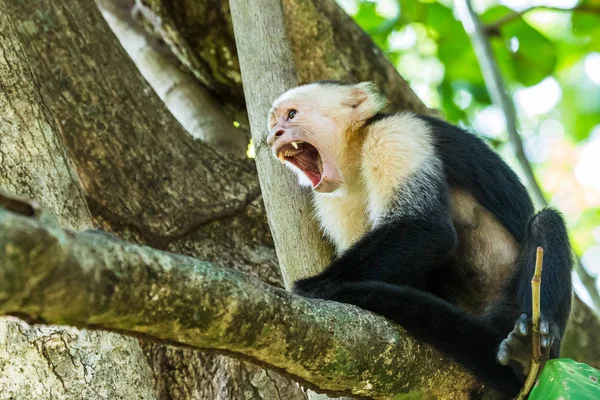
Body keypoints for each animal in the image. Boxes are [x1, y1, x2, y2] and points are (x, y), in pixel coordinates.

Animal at [266, 80, 572, 396]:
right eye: (273, 122)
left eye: (291, 115)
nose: (273, 135)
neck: (355, 154)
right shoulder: (333, 201)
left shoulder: (394, 136)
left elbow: (427, 228)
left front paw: (319, 284)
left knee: (545, 224)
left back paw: (528, 352)